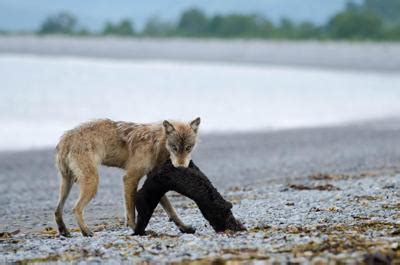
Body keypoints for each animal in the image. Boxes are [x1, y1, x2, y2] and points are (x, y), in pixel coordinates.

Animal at [54, 116, 200, 236]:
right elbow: (131, 213)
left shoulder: (154, 181)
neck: (156, 143)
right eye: (174, 147)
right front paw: (137, 230)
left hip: (67, 184)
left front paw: (184, 227)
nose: (181, 167)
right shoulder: (130, 178)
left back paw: (64, 231)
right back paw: (86, 231)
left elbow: (171, 210)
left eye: (188, 148)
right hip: (92, 183)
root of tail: (66, 138)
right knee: (76, 208)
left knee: (57, 211)